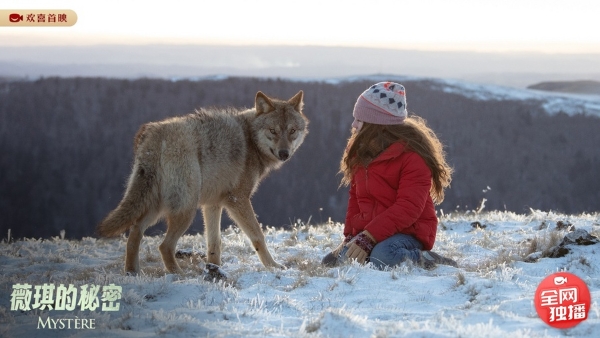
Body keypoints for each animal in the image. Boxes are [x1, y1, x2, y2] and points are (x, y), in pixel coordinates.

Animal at [98, 90, 310, 274]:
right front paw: (273, 266)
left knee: (135, 232)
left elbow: (214, 243)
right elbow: (258, 236)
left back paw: (132, 272)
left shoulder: (213, 204)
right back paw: (178, 274)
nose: (284, 153)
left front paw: (214, 268)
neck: (250, 140)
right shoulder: (237, 200)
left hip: (156, 205)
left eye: (292, 131)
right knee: (164, 245)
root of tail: (154, 134)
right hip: (185, 209)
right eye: (273, 131)